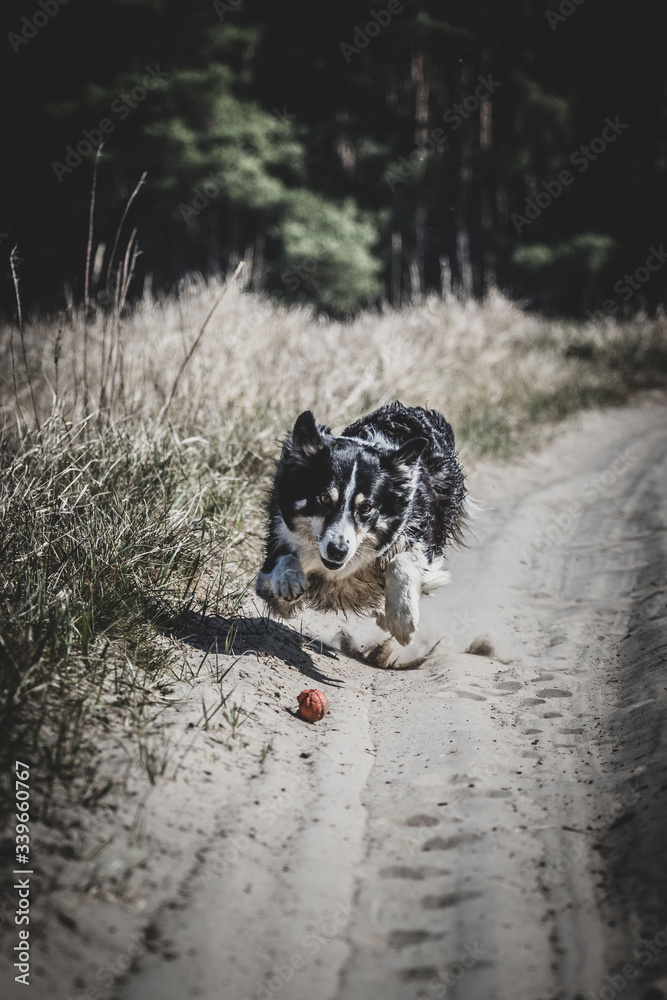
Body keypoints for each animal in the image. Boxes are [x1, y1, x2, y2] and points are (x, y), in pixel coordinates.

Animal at [253, 400, 468, 644]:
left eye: (366, 508)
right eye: (324, 499)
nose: (337, 551)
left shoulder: (416, 534)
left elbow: (402, 561)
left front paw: (402, 619)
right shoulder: (278, 541)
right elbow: (282, 562)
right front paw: (289, 580)